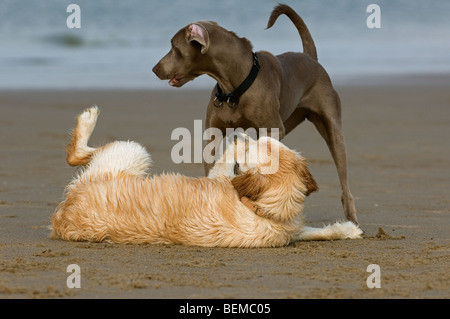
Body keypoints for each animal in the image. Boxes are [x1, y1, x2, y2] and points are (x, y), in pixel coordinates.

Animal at [50, 107, 362, 248]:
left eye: (251, 148)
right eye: (264, 141)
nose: (239, 135)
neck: (261, 210)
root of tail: (63, 216)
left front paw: (345, 230)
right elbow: (313, 231)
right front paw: (347, 229)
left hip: (132, 152)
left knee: (76, 154)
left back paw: (88, 119)